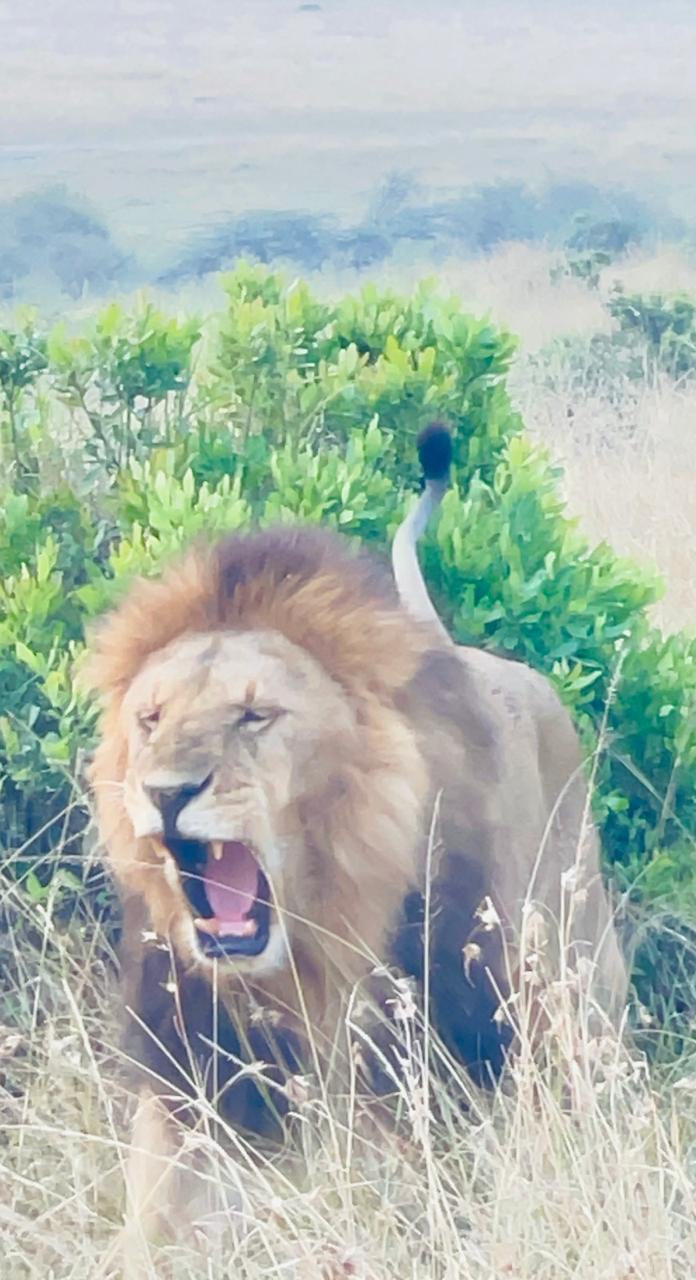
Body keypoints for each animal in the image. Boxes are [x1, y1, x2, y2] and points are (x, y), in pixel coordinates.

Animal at [87, 425, 626, 1264]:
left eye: (255, 716)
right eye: (149, 719)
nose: (167, 792)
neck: (305, 975)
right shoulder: (186, 1104)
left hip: (580, 987)